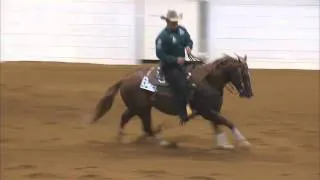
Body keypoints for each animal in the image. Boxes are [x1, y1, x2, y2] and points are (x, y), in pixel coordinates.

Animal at [89, 53, 254, 149]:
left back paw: (127, 139)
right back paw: (157, 141)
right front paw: (243, 141)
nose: (249, 93)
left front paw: (224, 144)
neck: (208, 82)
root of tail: (125, 79)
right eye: (243, 73)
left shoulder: (211, 111)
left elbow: (217, 125)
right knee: (143, 126)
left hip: (140, 108)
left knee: (135, 122)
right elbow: (227, 122)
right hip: (140, 108)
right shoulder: (207, 111)